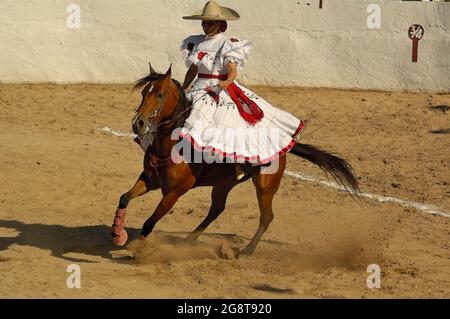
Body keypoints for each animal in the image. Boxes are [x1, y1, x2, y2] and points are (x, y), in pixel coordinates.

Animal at [110, 63, 360, 256]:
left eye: (160, 94)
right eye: (144, 93)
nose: (138, 124)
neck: (170, 145)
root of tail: (286, 142)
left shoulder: (173, 193)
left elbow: (149, 222)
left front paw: (137, 249)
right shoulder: (149, 180)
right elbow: (124, 197)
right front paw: (117, 233)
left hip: (265, 186)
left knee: (266, 217)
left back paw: (246, 251)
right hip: (224, 183)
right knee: (217, 209)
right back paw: (189, 240)